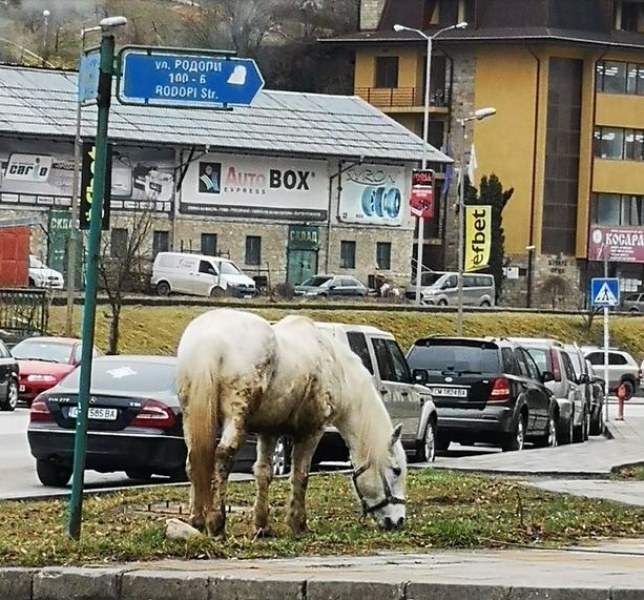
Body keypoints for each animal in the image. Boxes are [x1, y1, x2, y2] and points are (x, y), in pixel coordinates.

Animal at [176, 308, 408, 536]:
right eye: (396, 470)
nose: (398, 521)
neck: (333, 364)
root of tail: (210, 339)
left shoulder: (268, 432)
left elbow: (263, 472)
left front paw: (262, 526)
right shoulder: (312, 431)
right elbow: (300, 475)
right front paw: (298, 524)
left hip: (190, 417)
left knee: (194, 460)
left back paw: (196, 521)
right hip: (235, 417)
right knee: (222, 457)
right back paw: (217, 524)